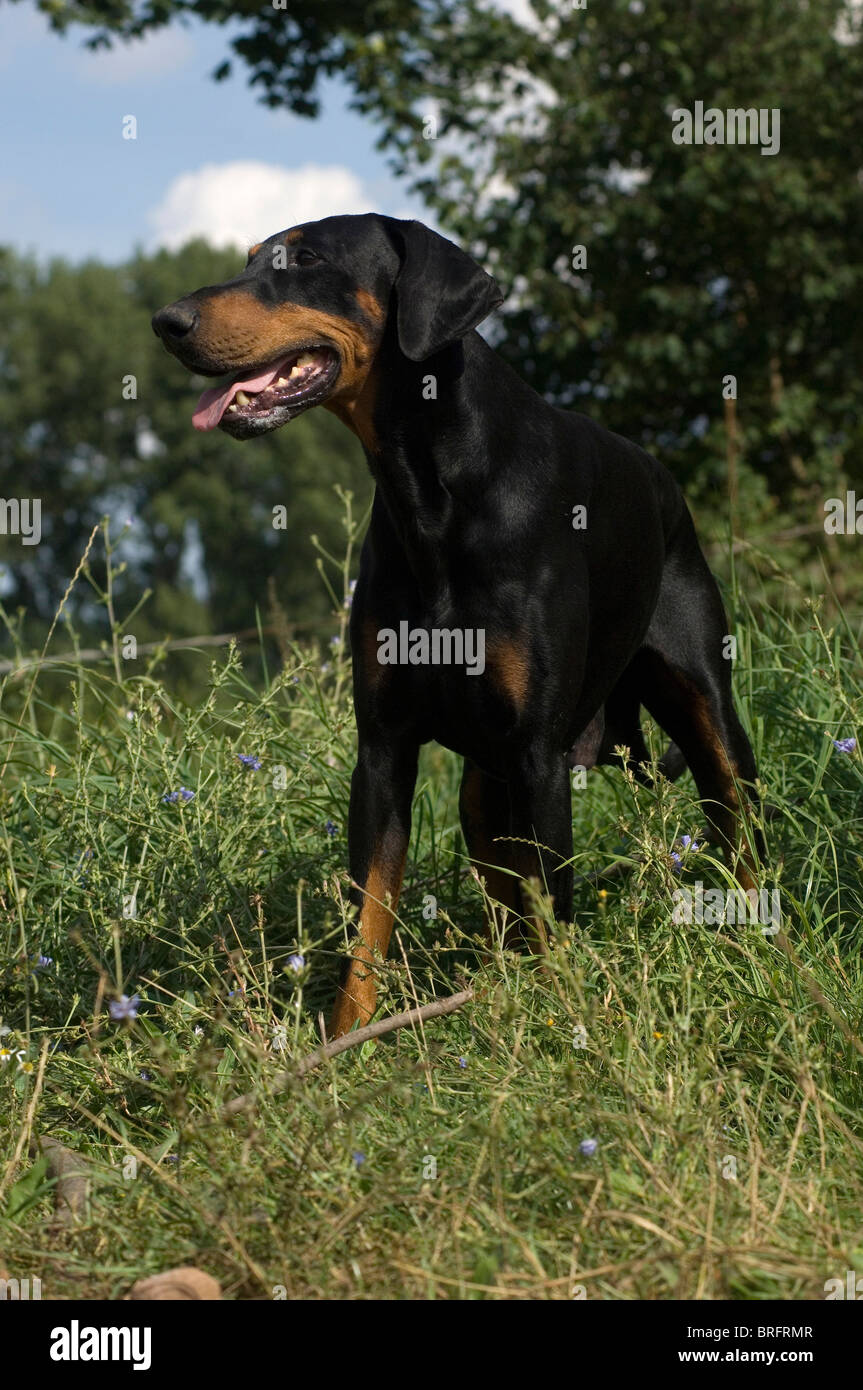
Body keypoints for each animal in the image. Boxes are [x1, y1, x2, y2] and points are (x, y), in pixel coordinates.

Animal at [154, 211, 761, 1039]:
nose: (167, 321)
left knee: (736, 829)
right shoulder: (382, 749)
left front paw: (567, 1024)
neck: (429, 488)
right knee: (506, 902)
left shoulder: (537, 755)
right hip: (483, 787)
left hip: (705, 711)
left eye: (305, 259)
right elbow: (368, 918)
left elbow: (553, 904)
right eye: (250, 260)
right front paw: (346, 1041)